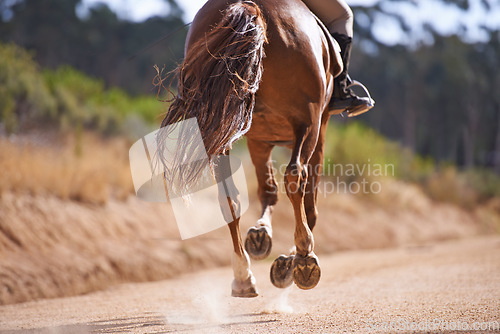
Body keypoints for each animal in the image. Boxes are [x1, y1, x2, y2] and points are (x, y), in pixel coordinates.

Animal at [160, 0, 344, 298]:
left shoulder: (258, 139)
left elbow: (267, 191)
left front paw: (261, 235)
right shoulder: (318, 126)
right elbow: (306, 201)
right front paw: (290, 260)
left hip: (222, 130)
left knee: (229, 198)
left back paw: (244, 275)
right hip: (309, 121)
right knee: (296, 178)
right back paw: (303, 256)